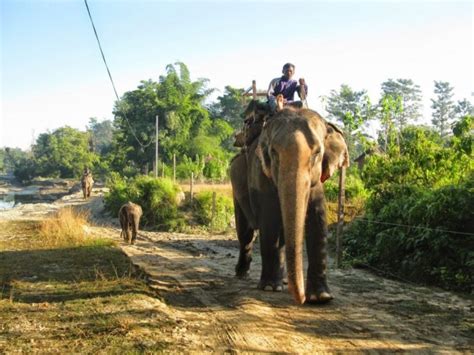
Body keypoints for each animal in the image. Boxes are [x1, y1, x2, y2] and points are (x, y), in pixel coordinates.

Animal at [230, 103, 348, 306]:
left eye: (317, 153)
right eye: (273, 153)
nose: (301, 299)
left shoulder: (316, 182)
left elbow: (318, 220)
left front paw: (321, 297)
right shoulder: (261, 175)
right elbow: (269, 221)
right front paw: (270, 287)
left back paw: (284, 280)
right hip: (236, 186)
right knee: (245, 233)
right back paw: (243, 274)